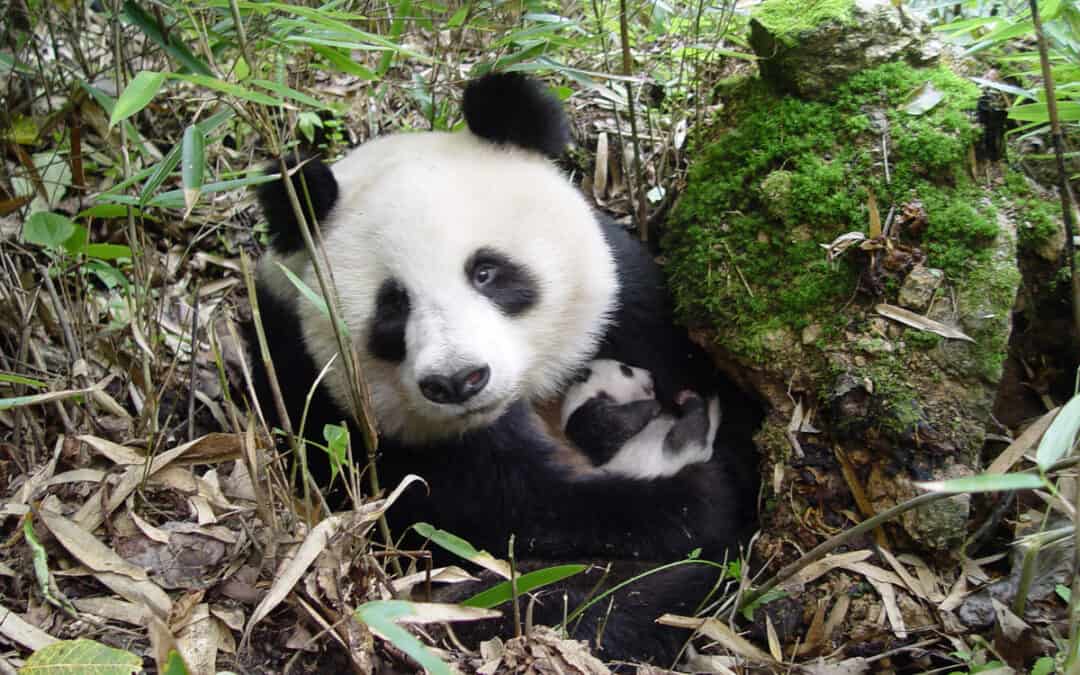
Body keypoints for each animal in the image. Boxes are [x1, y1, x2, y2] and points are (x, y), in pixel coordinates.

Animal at [249, 72, 764, 665]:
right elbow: (518, 511)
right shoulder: (333, 403)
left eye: (486, 272)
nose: (457, 380)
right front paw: (693, 500)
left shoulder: (629, 307)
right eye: (392, 306)